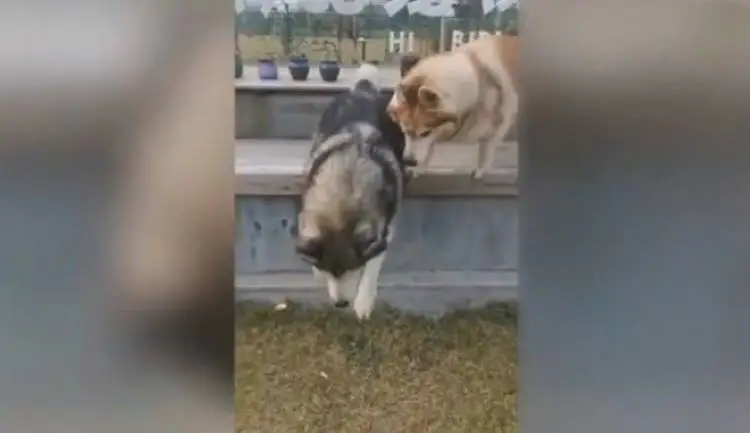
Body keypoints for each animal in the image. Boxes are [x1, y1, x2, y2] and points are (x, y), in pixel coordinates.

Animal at [295, 63, 407, 320]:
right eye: (328, 269)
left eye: (353, 268)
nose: (340, 304)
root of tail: (363, 88)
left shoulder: (384, 229)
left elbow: (374, 263)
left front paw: (363, 302)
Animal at [387, 35, 519, 179]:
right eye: (404, 130)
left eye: (425, 132)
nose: (409, 161)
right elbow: (428, 149)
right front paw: (420, 168)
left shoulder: (498, 126)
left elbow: (485, 150)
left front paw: (479, 171)